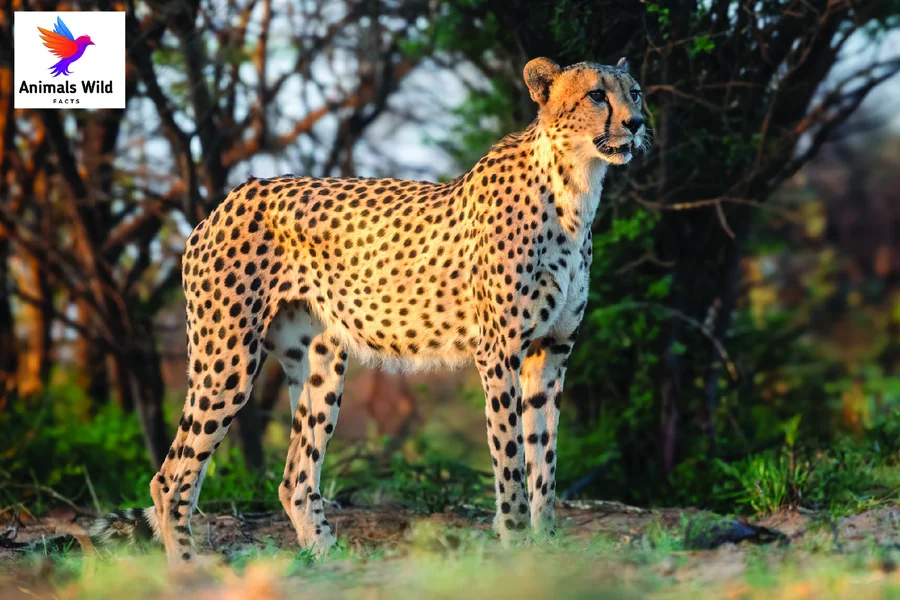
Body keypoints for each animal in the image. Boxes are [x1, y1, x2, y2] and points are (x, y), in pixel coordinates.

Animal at [90, 56, 649, 565]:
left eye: (635, 92)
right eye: (597, 95)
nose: (638, 123)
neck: (574, 188)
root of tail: (233, 196)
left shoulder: (550, 353)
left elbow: (544, 462)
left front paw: (547, 547)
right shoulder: (500, 354)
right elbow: (511, 460)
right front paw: (514, 547)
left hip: (320, 363)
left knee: (294, 479)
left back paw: (329, 562)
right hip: (226, 360)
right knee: (170, 478)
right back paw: (189, 568)